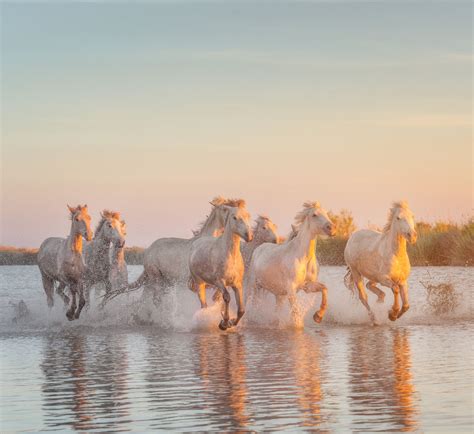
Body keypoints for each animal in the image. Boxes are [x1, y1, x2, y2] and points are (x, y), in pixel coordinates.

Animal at [189, 202, 254, 330]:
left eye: (248, 216)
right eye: (234, 217)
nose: (249, 236)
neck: (230, 255)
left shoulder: (237, 284)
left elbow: (241, 309)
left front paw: (231, 322)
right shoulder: (219, 281)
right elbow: (227, 298)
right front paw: (224, 324)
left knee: (216, 299)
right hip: (199, 282)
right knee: (204, 304)